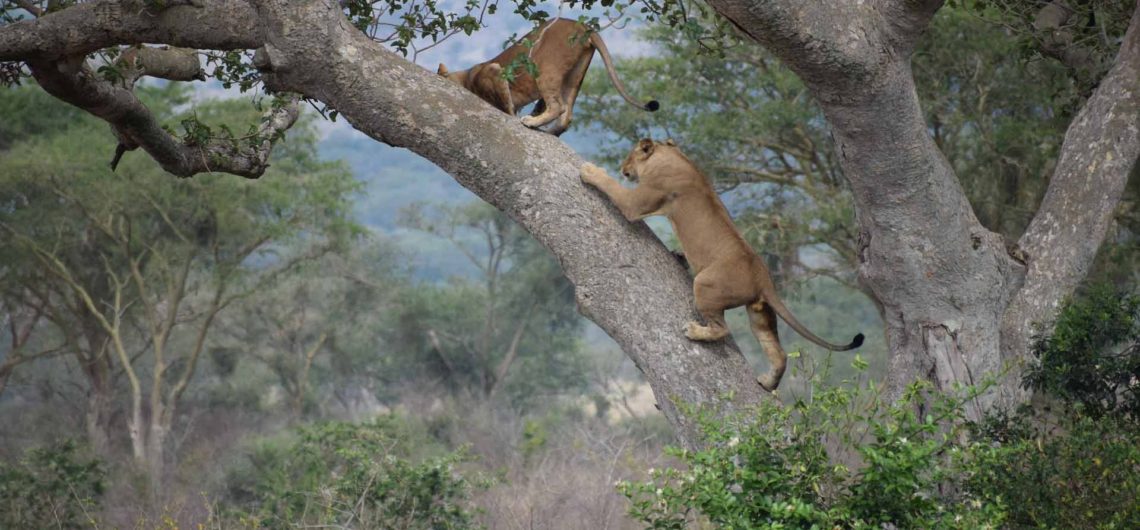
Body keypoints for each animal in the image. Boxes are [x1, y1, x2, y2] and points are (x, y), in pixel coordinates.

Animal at [435, 19, 661, 136]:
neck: (467, 75)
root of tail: (582, 26)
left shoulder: (493, 71)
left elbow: (506, 104)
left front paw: (514, 115)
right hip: (574, 75)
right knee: (566, 115)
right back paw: (549, 129)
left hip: (544, 65)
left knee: (558, 106)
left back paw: (532, 122)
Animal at [579, 138, 861, 389]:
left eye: (630, 156)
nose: (623, 168)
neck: (672, 156)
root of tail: (763, 278)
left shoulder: (637, 203)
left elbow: (612, 187)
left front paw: (590, 170)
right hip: (759, 313)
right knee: (778, 352)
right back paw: (767, 382)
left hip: (705, 285)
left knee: (723, 329)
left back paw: (695, 331)